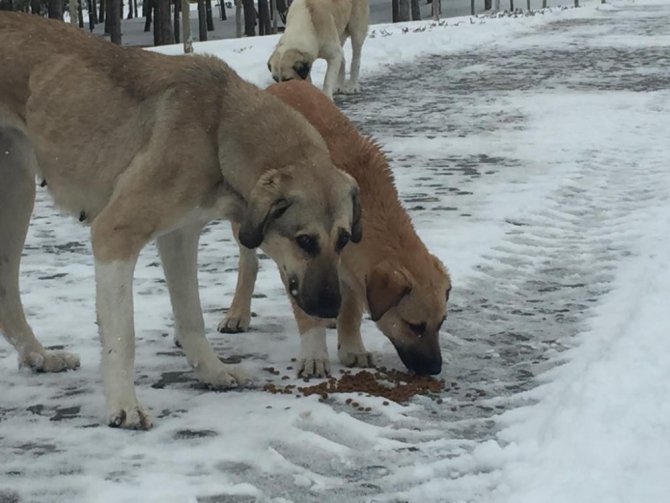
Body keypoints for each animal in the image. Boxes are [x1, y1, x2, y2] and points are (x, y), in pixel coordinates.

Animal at [223, 80, 454, 376]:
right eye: (414, 326)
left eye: (442, 323)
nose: (436, 368)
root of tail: (284, 83)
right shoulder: (298, 260)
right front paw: (314, 355)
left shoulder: (350, 267)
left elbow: (352, 307)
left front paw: (352, 346)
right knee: (248, 264)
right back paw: (238, 312)